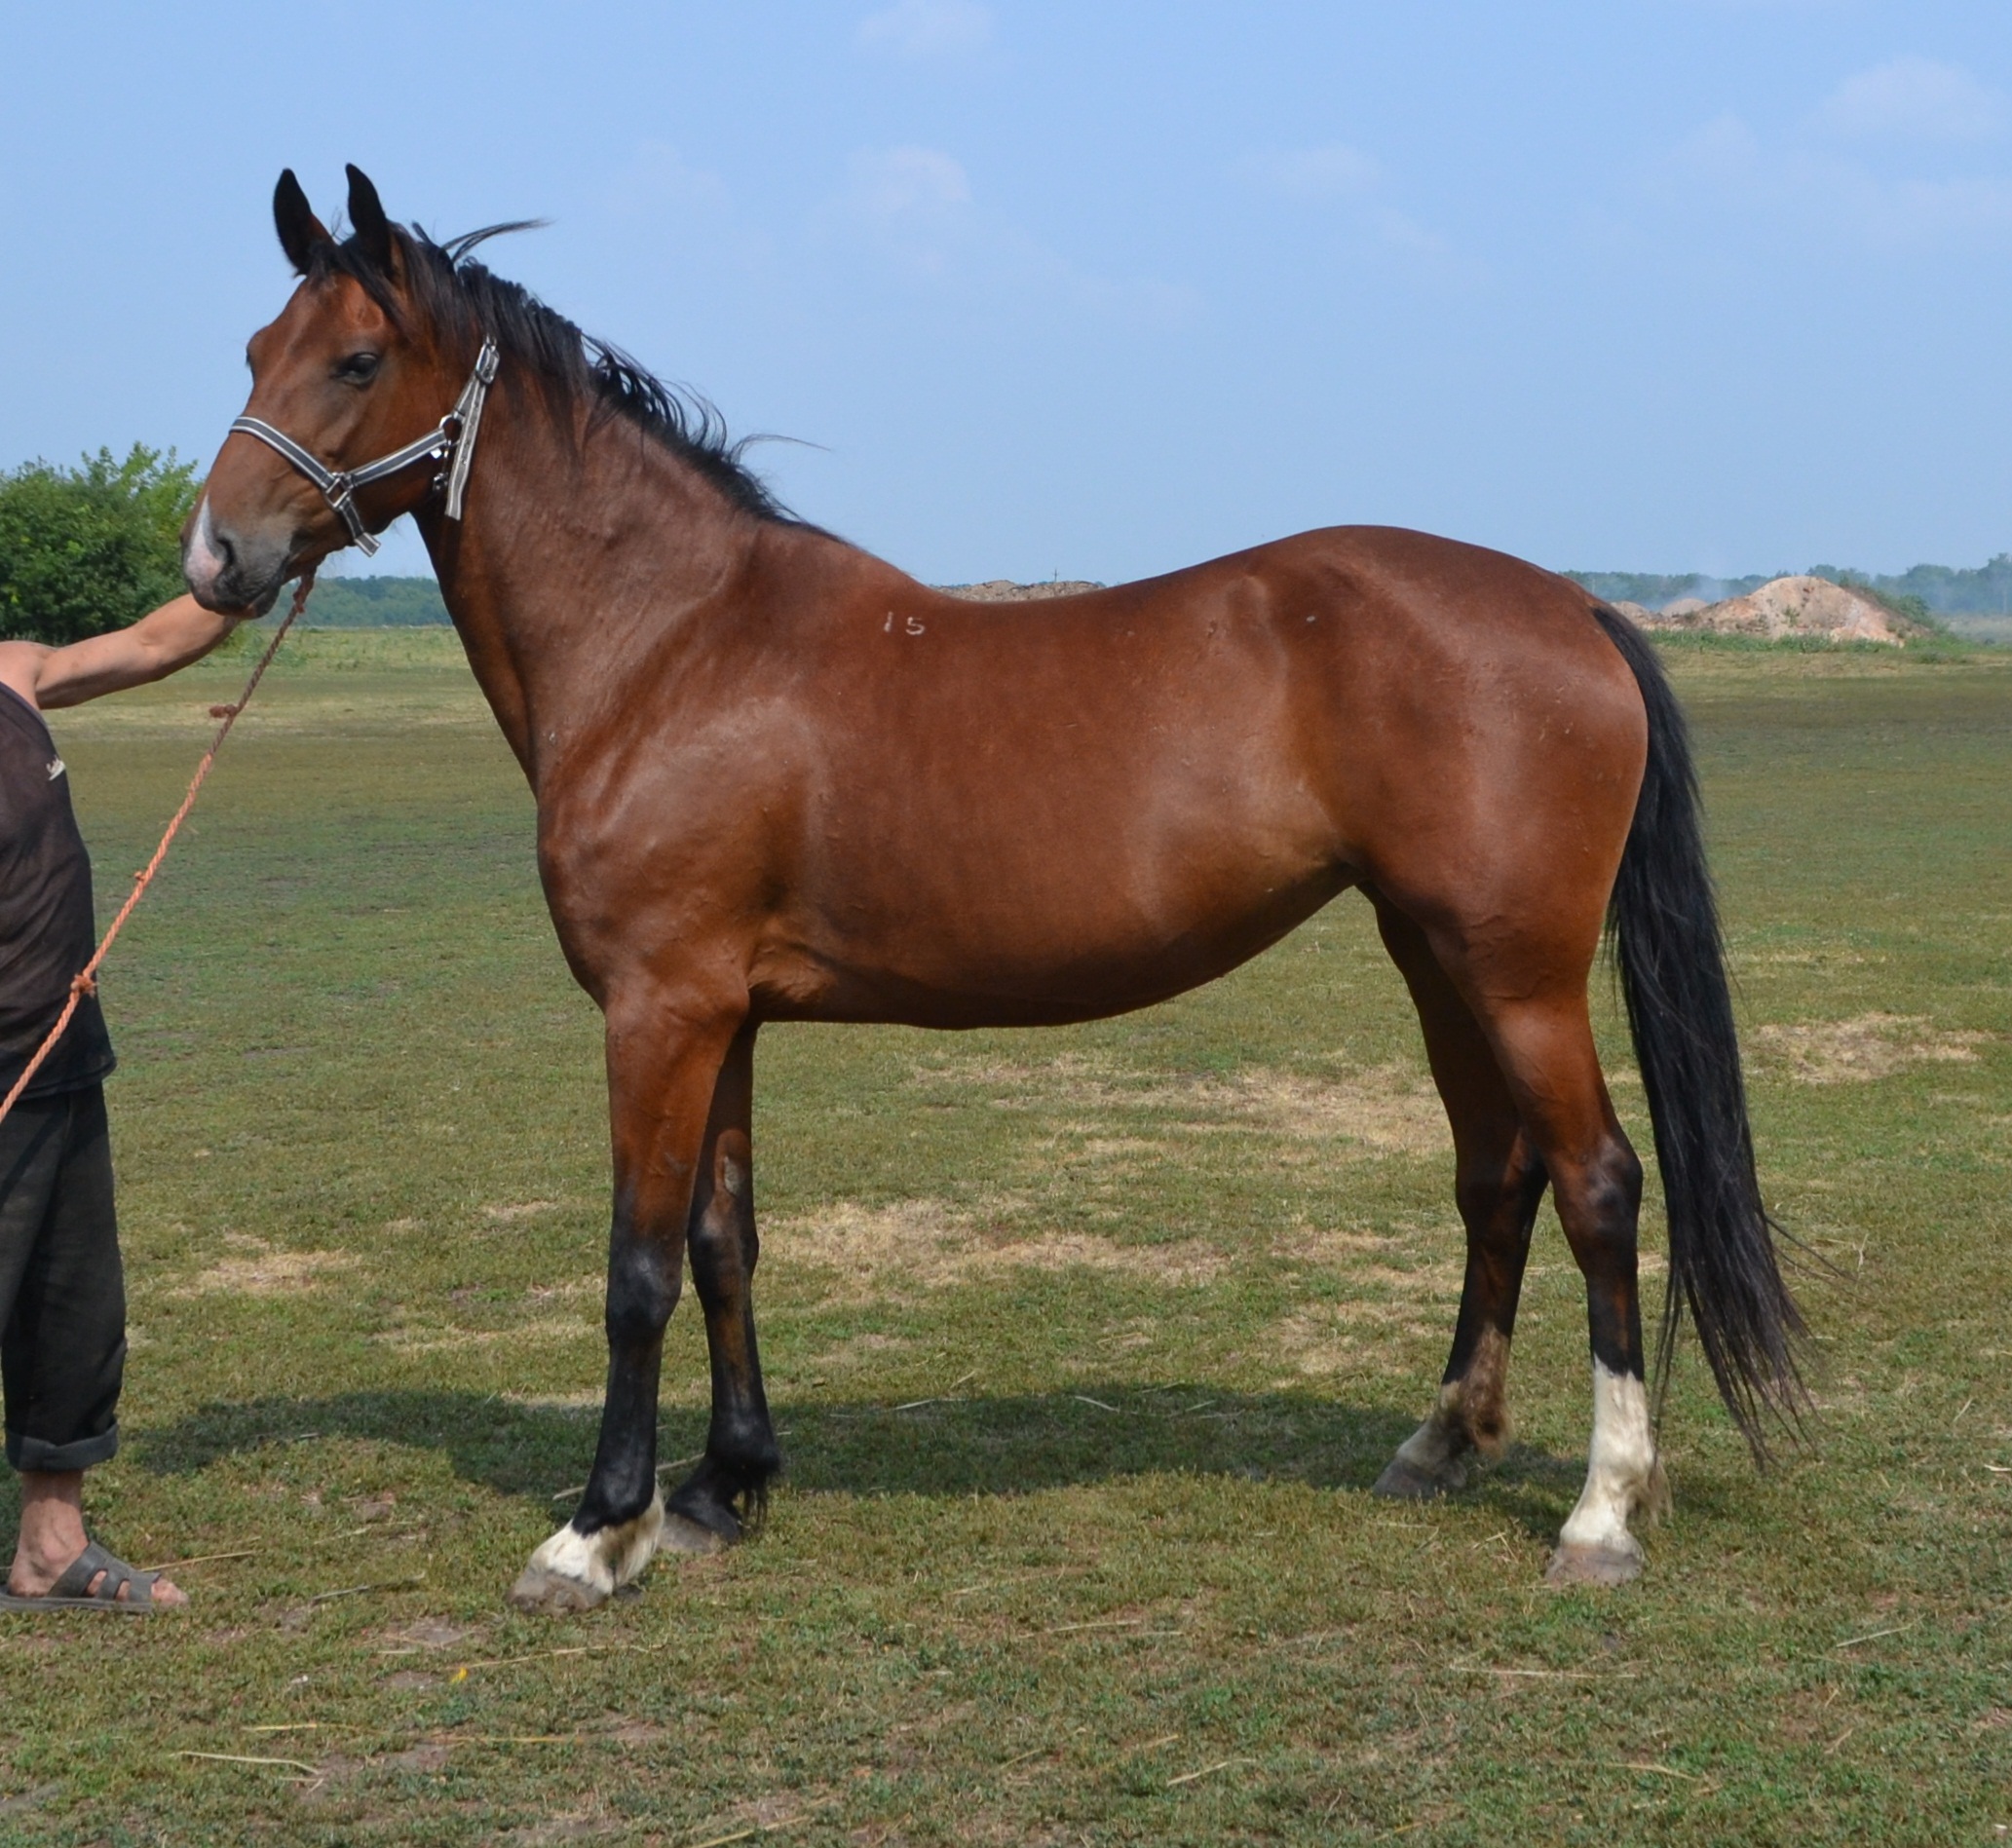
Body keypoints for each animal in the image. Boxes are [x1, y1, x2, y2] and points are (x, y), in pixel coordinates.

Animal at [180, 170, 1803, 1616]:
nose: (215, 557)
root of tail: (1572, 603)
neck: (673, 643)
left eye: (357, 359)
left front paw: (596, 1534)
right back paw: (1442, 1443)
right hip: (1433, 956)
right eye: (253, 351)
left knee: (1597, 1184)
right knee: (1497, 1178)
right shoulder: (724, 1017)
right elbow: (722, 1242)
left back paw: (1599, 1513)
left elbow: (635, 1268)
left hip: (1517, 972)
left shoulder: (657, 1010)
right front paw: (722, 1487)